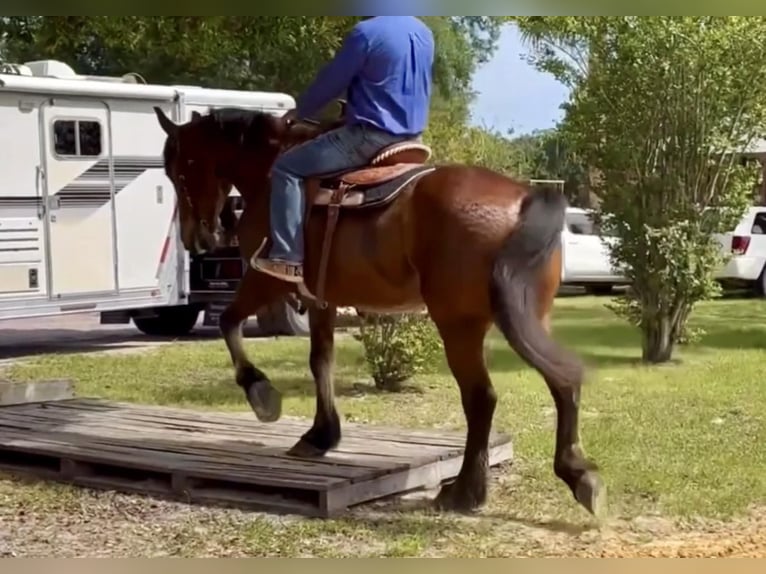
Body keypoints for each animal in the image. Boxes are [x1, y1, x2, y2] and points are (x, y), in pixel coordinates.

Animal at [152, 106, 608, 520]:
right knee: (561, 381)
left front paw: (260, 393)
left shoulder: (268, 280)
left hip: (459, 324)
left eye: (180, 171)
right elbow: (321, 361)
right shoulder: (321, 299)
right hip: (528, 318)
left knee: (482, 397)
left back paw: (465, 491)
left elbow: (229, 323)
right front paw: (321, 435)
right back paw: (578, 475)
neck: (268, 172)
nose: (197, 238)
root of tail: (525, 197)